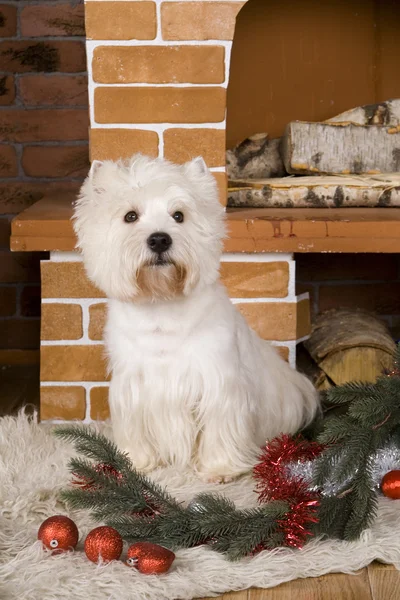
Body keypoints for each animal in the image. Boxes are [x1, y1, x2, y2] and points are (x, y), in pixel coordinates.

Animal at [74, 155, 318, 482]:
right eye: (130, 216)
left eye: (179, 215)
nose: (160, 239)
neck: (162, 307)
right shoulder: (131, 386)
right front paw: (135, 462)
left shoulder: (219, 383)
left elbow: (218, 427)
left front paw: (220, 469)